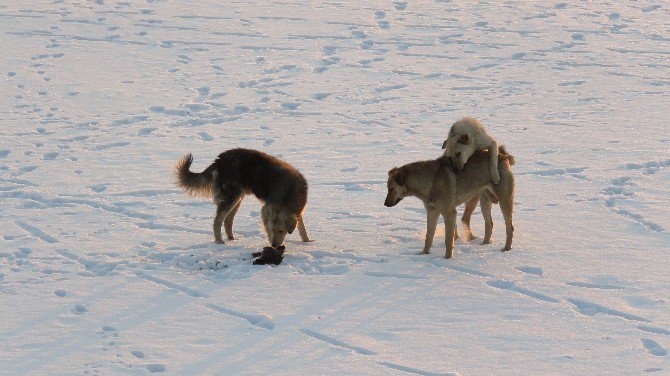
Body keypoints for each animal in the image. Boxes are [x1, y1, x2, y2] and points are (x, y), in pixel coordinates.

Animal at [386, 150, 516, 258]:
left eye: (391, 189)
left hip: (504, 201)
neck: (430, 181)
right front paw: (424, 254)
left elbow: (448, 240)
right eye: (388, 188)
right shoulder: (432, 212)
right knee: (489, 224)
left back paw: (506, 248)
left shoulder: (449, 213)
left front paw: (447, 258)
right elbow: (429, 236)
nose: (385, 204)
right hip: (484, 201)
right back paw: (483, 244)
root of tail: (503, 156)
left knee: (509, 227)